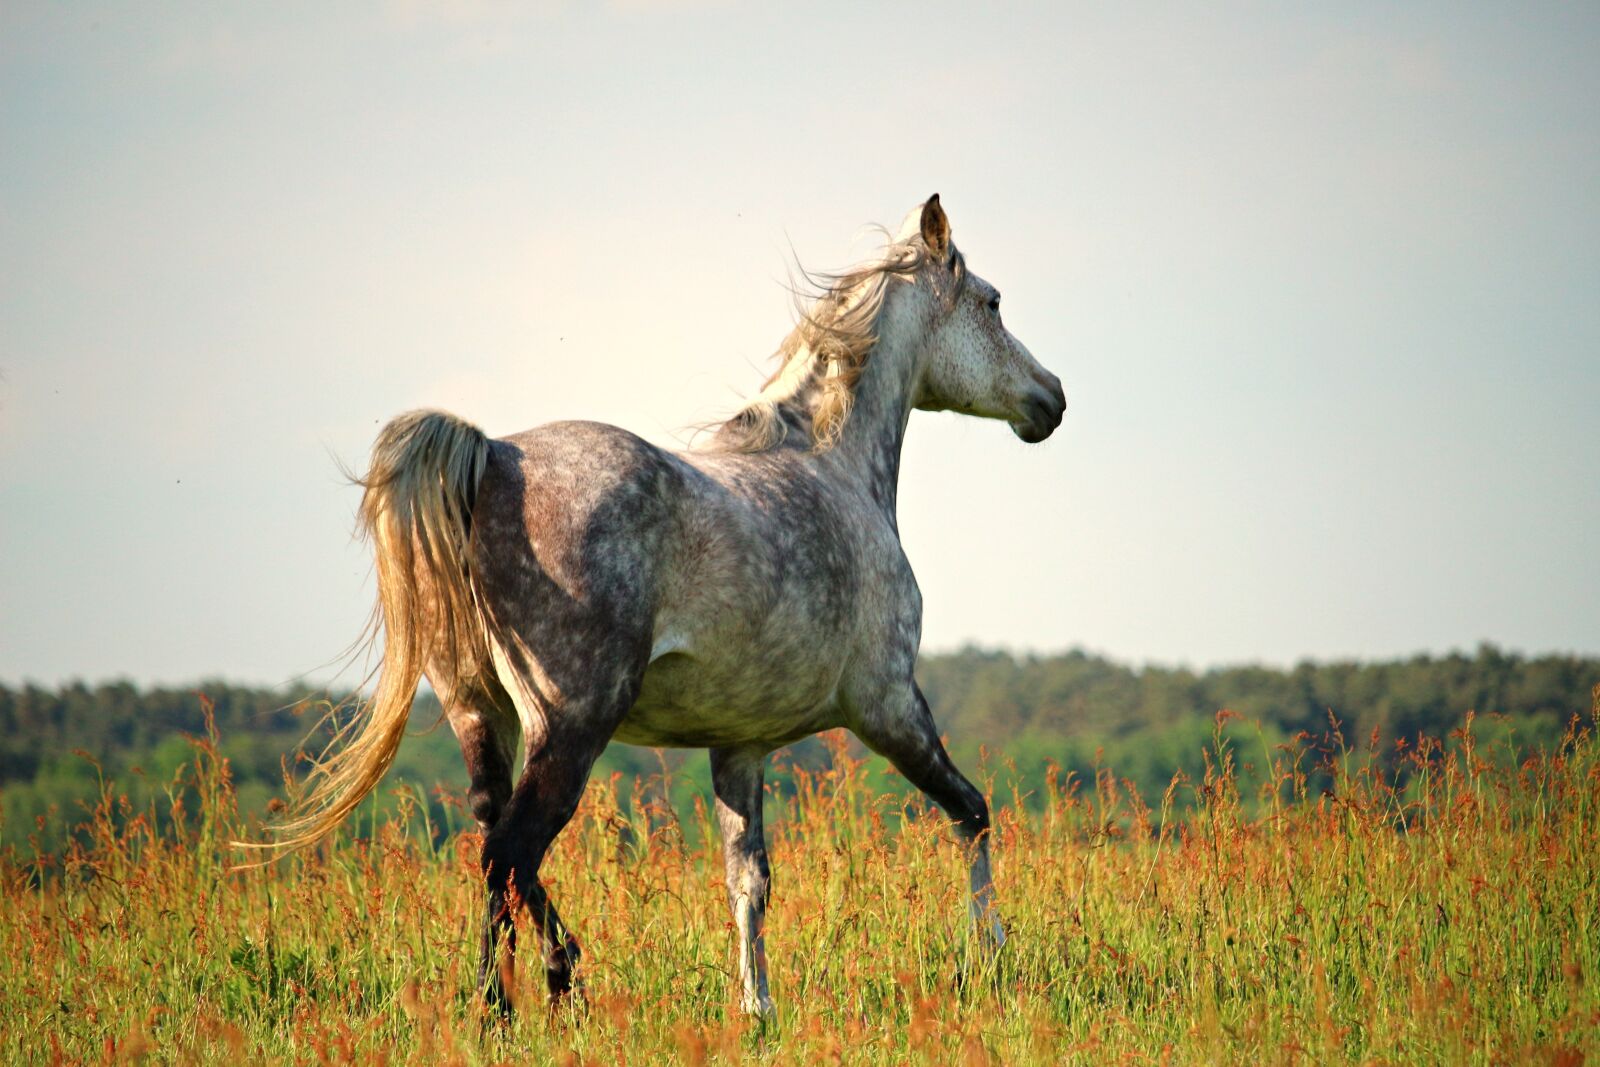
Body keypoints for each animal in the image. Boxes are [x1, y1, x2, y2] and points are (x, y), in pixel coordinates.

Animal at [271, 194, 1066, 1017]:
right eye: (991, 303)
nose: (1051, 399)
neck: (835, 471)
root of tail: (492, 458)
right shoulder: (891, 705)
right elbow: (971, 812)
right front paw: (990, 956)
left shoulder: (740, 744)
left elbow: (748, 880)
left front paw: (757, 1008)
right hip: (572, 721)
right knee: (512, 850)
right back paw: (524, 997)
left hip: (477, 710)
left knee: (496, 844)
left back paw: (536, 987)